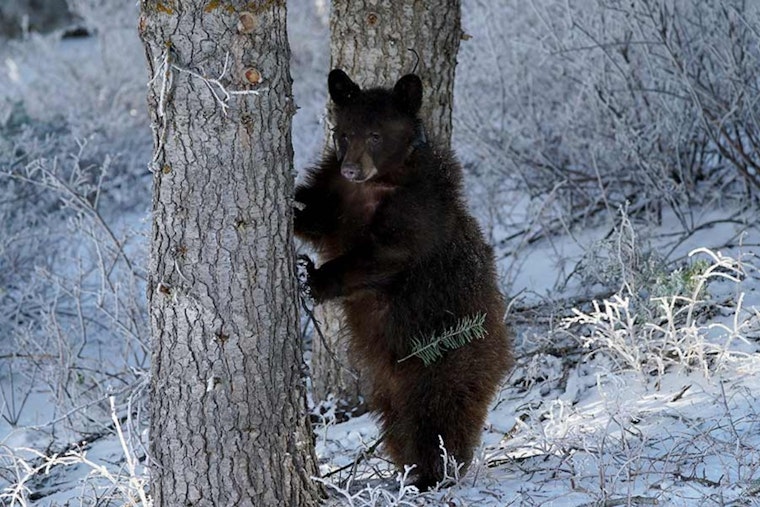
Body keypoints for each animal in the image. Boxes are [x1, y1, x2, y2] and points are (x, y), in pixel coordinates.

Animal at [294, 69, 514, 490]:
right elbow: (315, 214)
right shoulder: (336, 194)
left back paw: (435, 472)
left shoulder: (418, 209)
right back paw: (408, 468)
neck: (376, 184)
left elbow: (384, 254)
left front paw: (311, 278)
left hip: (444, 356)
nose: (352, 169)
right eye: (344, 133)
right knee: (396, 419)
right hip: (387, 382)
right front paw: (292, 206)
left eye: (376, 135)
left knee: (439, 414)